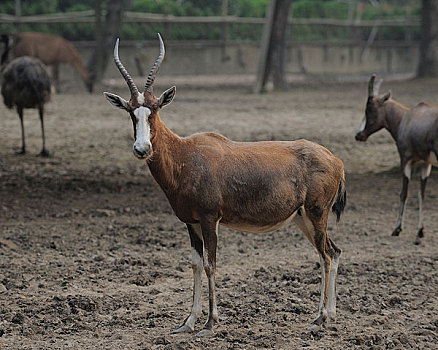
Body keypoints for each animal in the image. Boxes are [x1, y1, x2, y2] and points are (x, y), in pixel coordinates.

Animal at [103, 34, 346, 336]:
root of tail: (334, 159)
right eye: (130, 111)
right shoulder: (191, 223)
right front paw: (188, 322)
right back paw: (329, 315)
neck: (186, 154)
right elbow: (195, 264)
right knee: (334, 251)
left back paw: (320, 318)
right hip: (303, 218)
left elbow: (211, 264)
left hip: (316, 214)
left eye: (155, 109)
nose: (142, 149)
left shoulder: (210, 219)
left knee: (325, 256)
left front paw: (210, 323)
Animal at [356, 74, 438, 243]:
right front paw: (420, 231)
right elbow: (422, 194)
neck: (406, 118)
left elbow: (403, 193)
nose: (359, 135)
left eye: (369, 109)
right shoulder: (425, 164)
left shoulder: (405, 161)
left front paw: (397, 229)